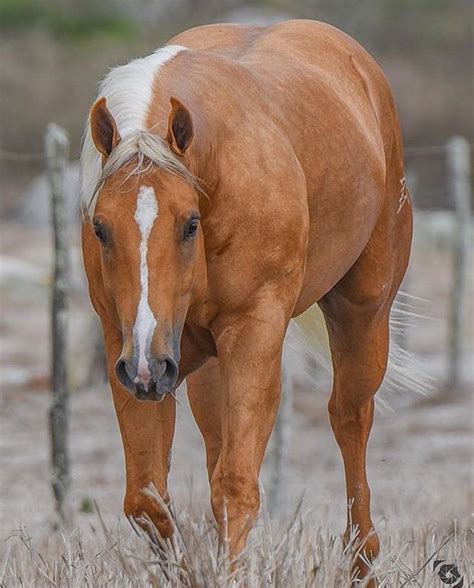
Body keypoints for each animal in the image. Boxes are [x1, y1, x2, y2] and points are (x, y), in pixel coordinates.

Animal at [80, 20, 412, 580]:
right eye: (101, 228)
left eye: (189, 223)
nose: (148, 365)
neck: (216, 171)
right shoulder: (128, 351)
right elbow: (147, 500)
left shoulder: (252, 335)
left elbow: (235, 488)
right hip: (197, 367)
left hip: (362, 315)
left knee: (350, 419)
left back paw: (361, 560)